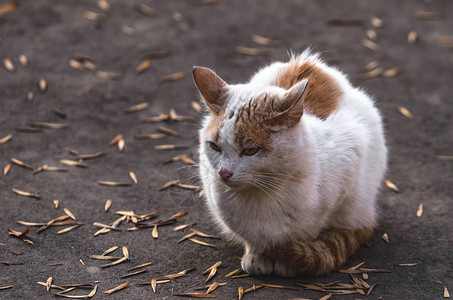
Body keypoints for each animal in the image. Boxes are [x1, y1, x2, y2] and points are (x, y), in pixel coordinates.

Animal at [192, 50, 386, 278]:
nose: (224, 173)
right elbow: (252, 237)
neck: (263, 193)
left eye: (250, 150)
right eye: (214, 147)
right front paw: (256, 254)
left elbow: (308, 231)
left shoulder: (349, 158)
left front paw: (290, 261)